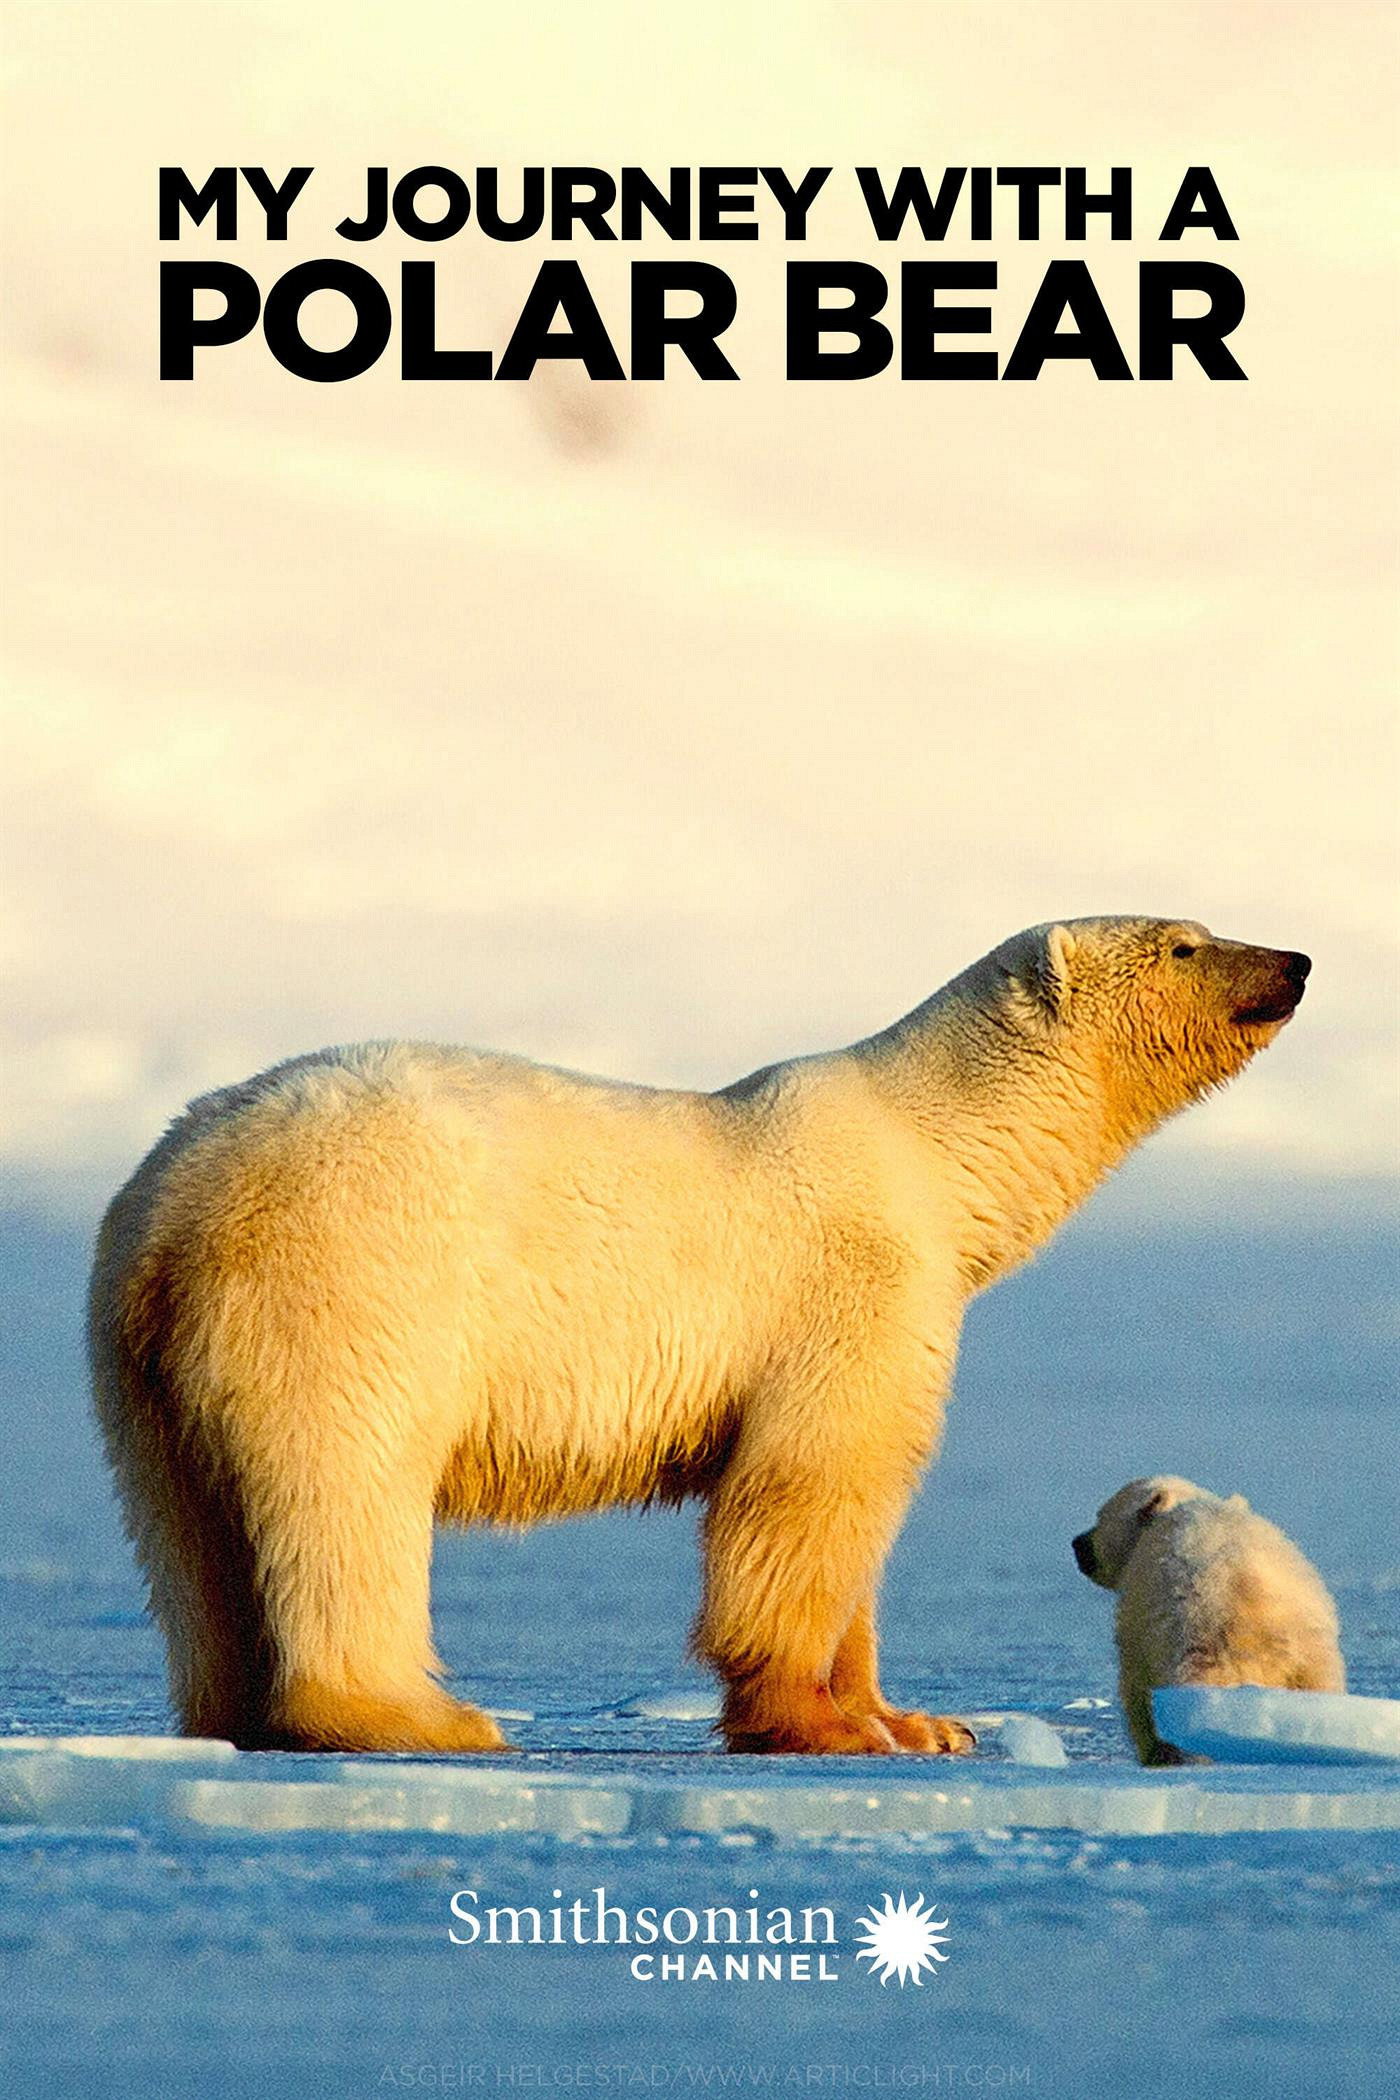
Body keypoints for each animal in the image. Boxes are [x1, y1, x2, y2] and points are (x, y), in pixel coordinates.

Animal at [89, 917, 1310, 1757]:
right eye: (1184, 940)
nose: (1294, 960)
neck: (935, 1152)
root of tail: (178, 1200)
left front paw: (919, 1721)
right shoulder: (852, 1288)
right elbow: (809, 1490)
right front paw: (825, 1726)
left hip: (137, 1357)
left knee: (187, 1534)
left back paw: (231, 1710)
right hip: (353, 1284)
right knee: (346, 1488)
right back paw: (418, 1716)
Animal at [1072, 1476, 1346, 1764]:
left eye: (1100, 1516)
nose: (1078, 1544)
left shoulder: (1138, 1624)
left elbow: (1137, 1695)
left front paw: (1156, 1755)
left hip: (1201, 1643)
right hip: (1310, 1661)